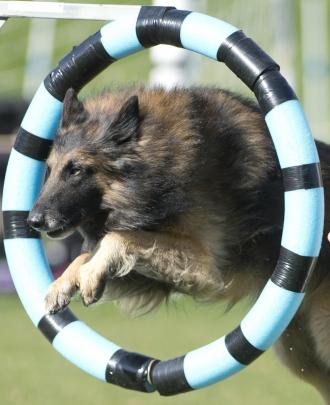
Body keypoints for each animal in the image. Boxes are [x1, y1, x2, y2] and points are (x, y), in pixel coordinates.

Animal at [27, 86, 330, 400]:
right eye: (48, 170)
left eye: (76, 170)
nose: (33, 221)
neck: (159, 164)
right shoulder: (154, 276)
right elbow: (89, 254)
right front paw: (64, 283)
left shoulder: (205, 265)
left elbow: (117, 237)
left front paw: (87, 274)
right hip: (301, 353)